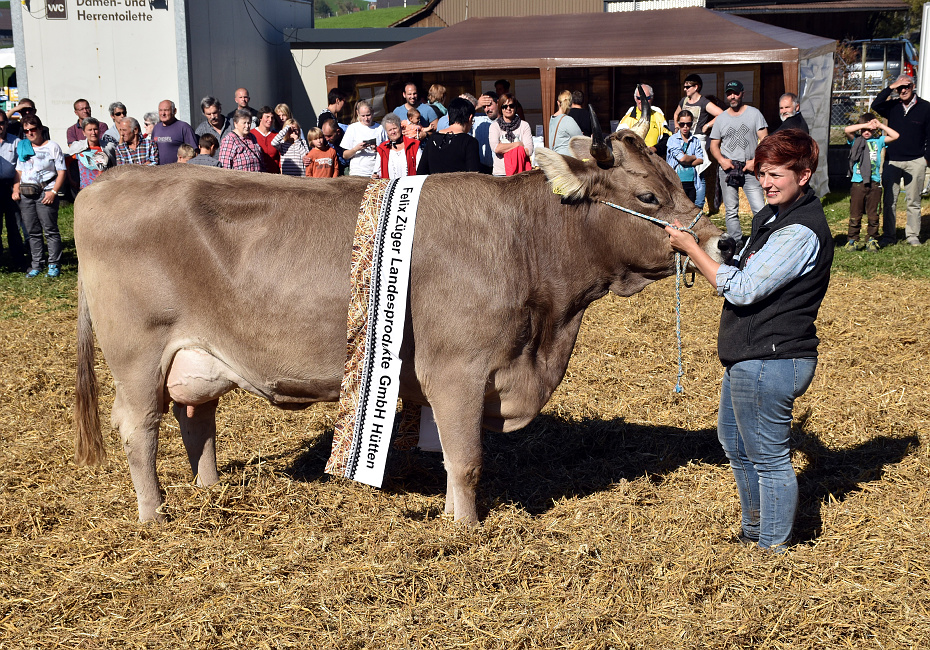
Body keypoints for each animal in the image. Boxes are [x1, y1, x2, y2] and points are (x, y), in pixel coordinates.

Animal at [74, 132, 724, 520]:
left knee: (195, 417)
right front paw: (464, 527)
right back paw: (154, 513)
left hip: (196, 356)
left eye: (677, 181)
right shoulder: (458, 368)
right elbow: (466, 458)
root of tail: (108, 182)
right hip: (137, 355)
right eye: (648, 196)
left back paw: (210, 489)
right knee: (140, 428)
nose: (720, 240)